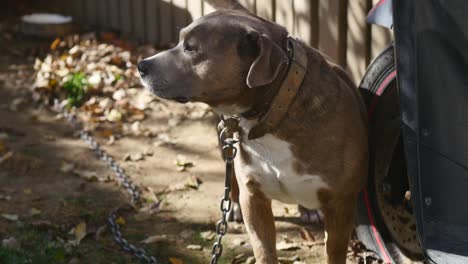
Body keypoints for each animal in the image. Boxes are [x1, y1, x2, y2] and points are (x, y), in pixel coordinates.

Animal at [137, 1, 368, 262]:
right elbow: (263, 249)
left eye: (191, 48)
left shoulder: (341, 205)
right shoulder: (254, 200)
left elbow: (334, 252)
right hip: (225, 141)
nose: (141, 65)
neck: (274, 113)